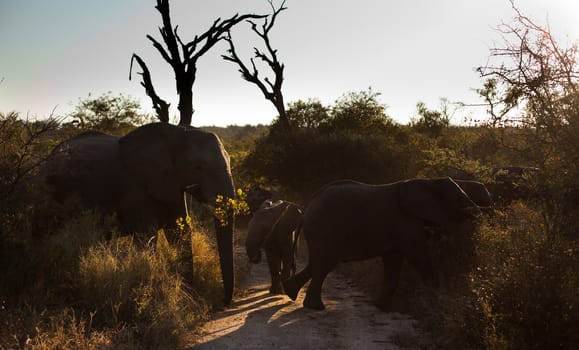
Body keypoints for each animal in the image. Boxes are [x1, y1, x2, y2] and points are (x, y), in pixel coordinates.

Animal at [42, 123, 238, 306]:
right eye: (198, 167)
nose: (223, 302)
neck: (177, 133)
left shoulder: (171, 184)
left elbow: (178, 232)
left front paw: (190, 298)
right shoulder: (136, 187)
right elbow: (147, 236)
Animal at [284, 179, 482, 310]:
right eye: (458, 199)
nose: (479, 213)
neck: (429, 181)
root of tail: (306, 207)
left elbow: (393, 262)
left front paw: (381, 307)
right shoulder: (406, 223)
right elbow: (417, 255)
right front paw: (437, 296)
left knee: (319, 262)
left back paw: (291, 293)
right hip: (323, 226)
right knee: (326, 262)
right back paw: (315, 307)